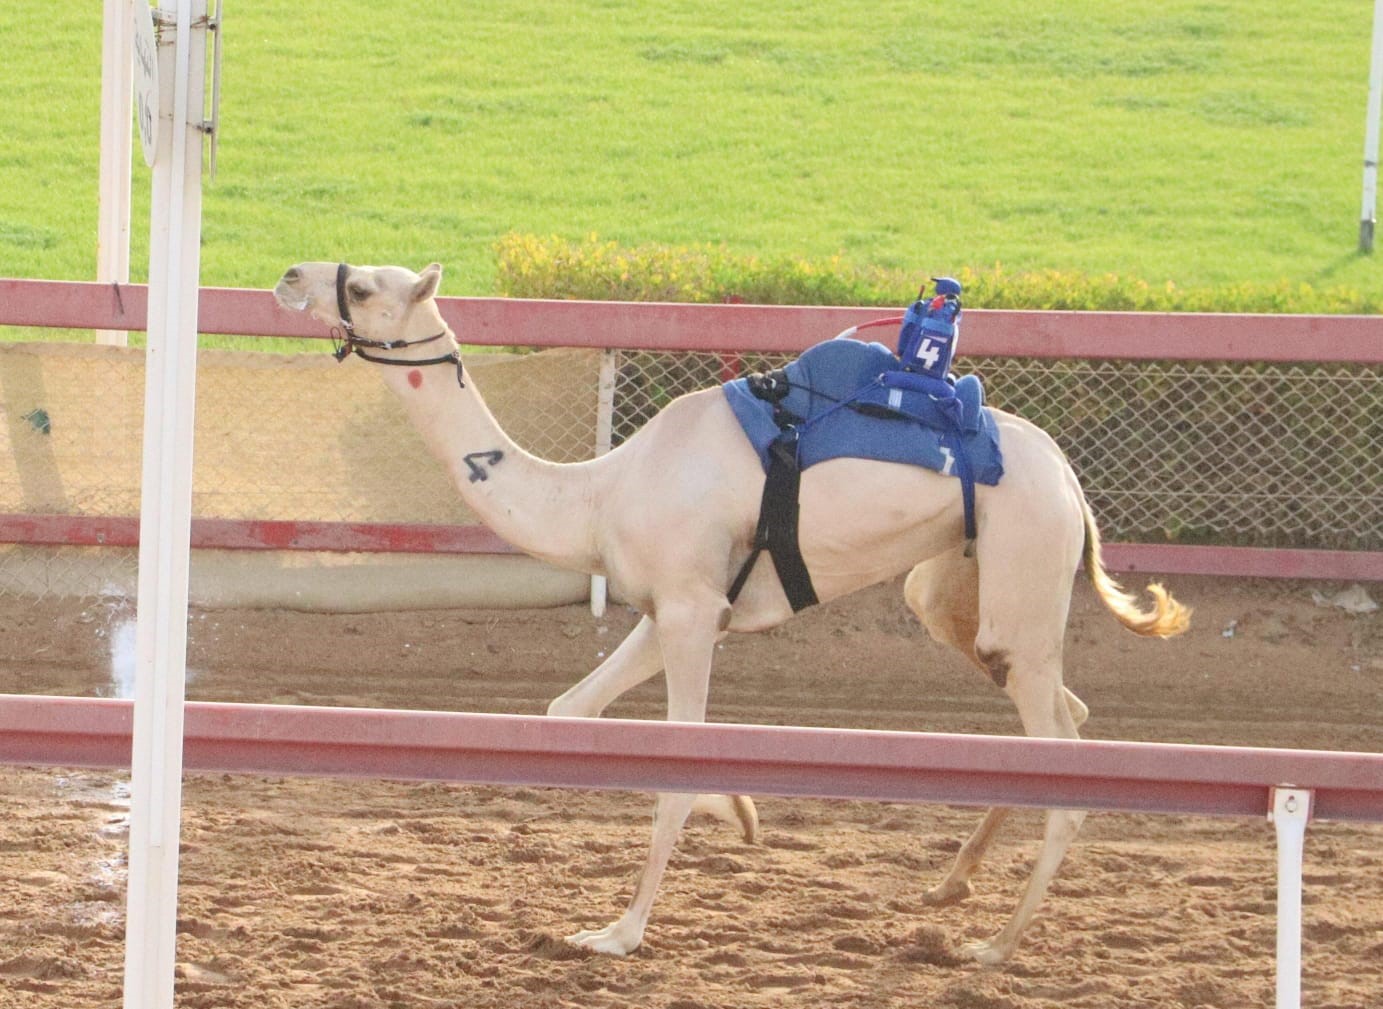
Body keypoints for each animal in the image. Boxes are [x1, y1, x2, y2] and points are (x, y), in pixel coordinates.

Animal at [269, 259, 1189, 956]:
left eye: (363, 288)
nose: (289, 276)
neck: (598, 494)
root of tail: (1069, 477)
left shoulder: (687, 611)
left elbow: (673, 766)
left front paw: (618, 930)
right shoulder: (667, 609)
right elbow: (571, 709)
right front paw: (740, 809)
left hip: (1024, 560)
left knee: (1063, 757)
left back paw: (993, 945)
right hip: (952, 585)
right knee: (1056, 720)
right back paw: (949, 887)